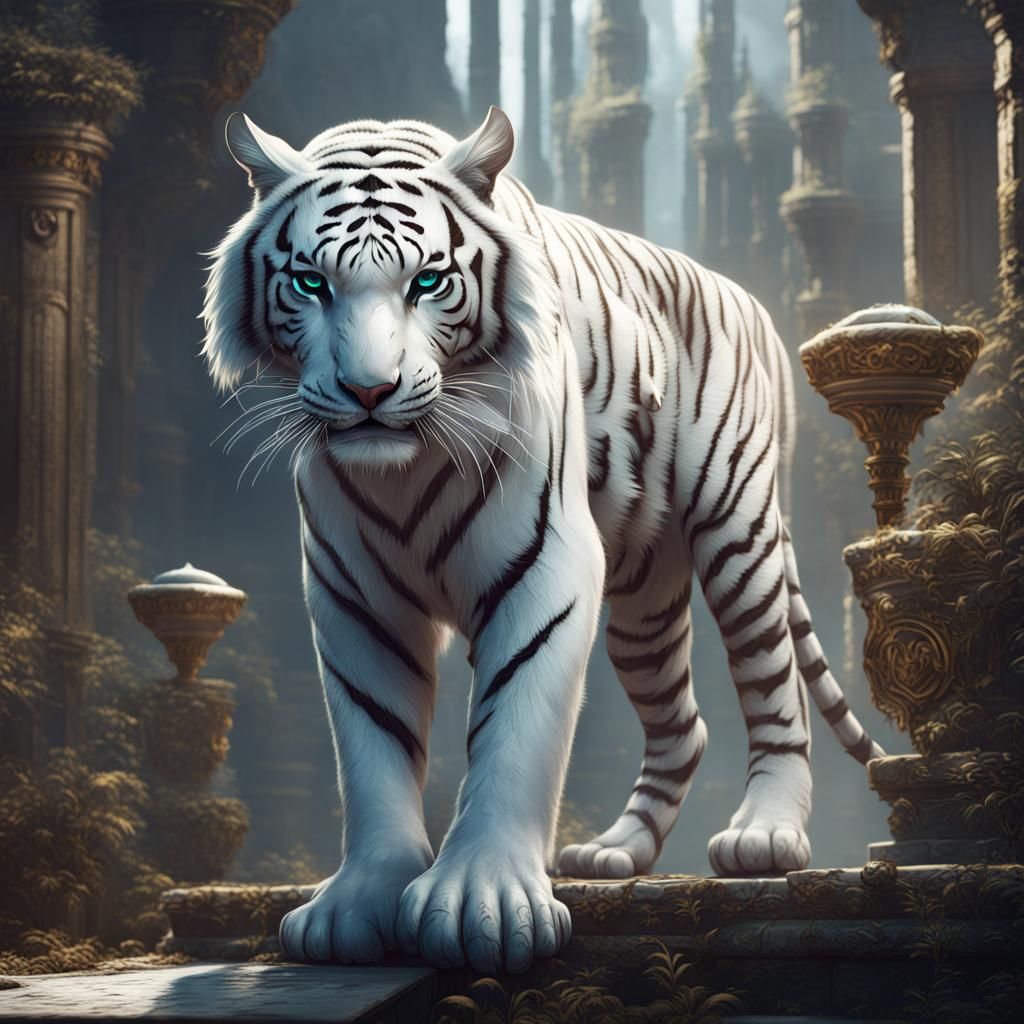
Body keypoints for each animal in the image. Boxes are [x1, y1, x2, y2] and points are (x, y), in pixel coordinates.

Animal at [202, 106, 884, 974]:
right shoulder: (352, 592)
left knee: (774, 686)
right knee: (681, 724)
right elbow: (372, 742)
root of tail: (751, 301)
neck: (402, 470)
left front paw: (482, 904)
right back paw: (618, 851)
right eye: (311, 282)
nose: (368, 391)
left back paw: (765, 833)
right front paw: (356, 901)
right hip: (642, 601)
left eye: (428, 282)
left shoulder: (545, 568)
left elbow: (514, 727)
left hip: (739, 531)